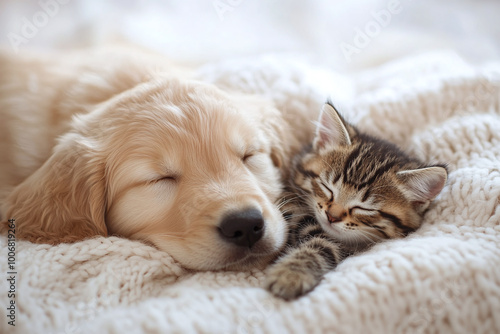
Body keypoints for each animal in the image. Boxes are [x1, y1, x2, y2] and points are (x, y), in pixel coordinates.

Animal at [268, 102, 448, 300]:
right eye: (327, 188)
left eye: (365, 209)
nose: (331, 216)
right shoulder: (291, 200)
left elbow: (323, 245)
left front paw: (292, 273)